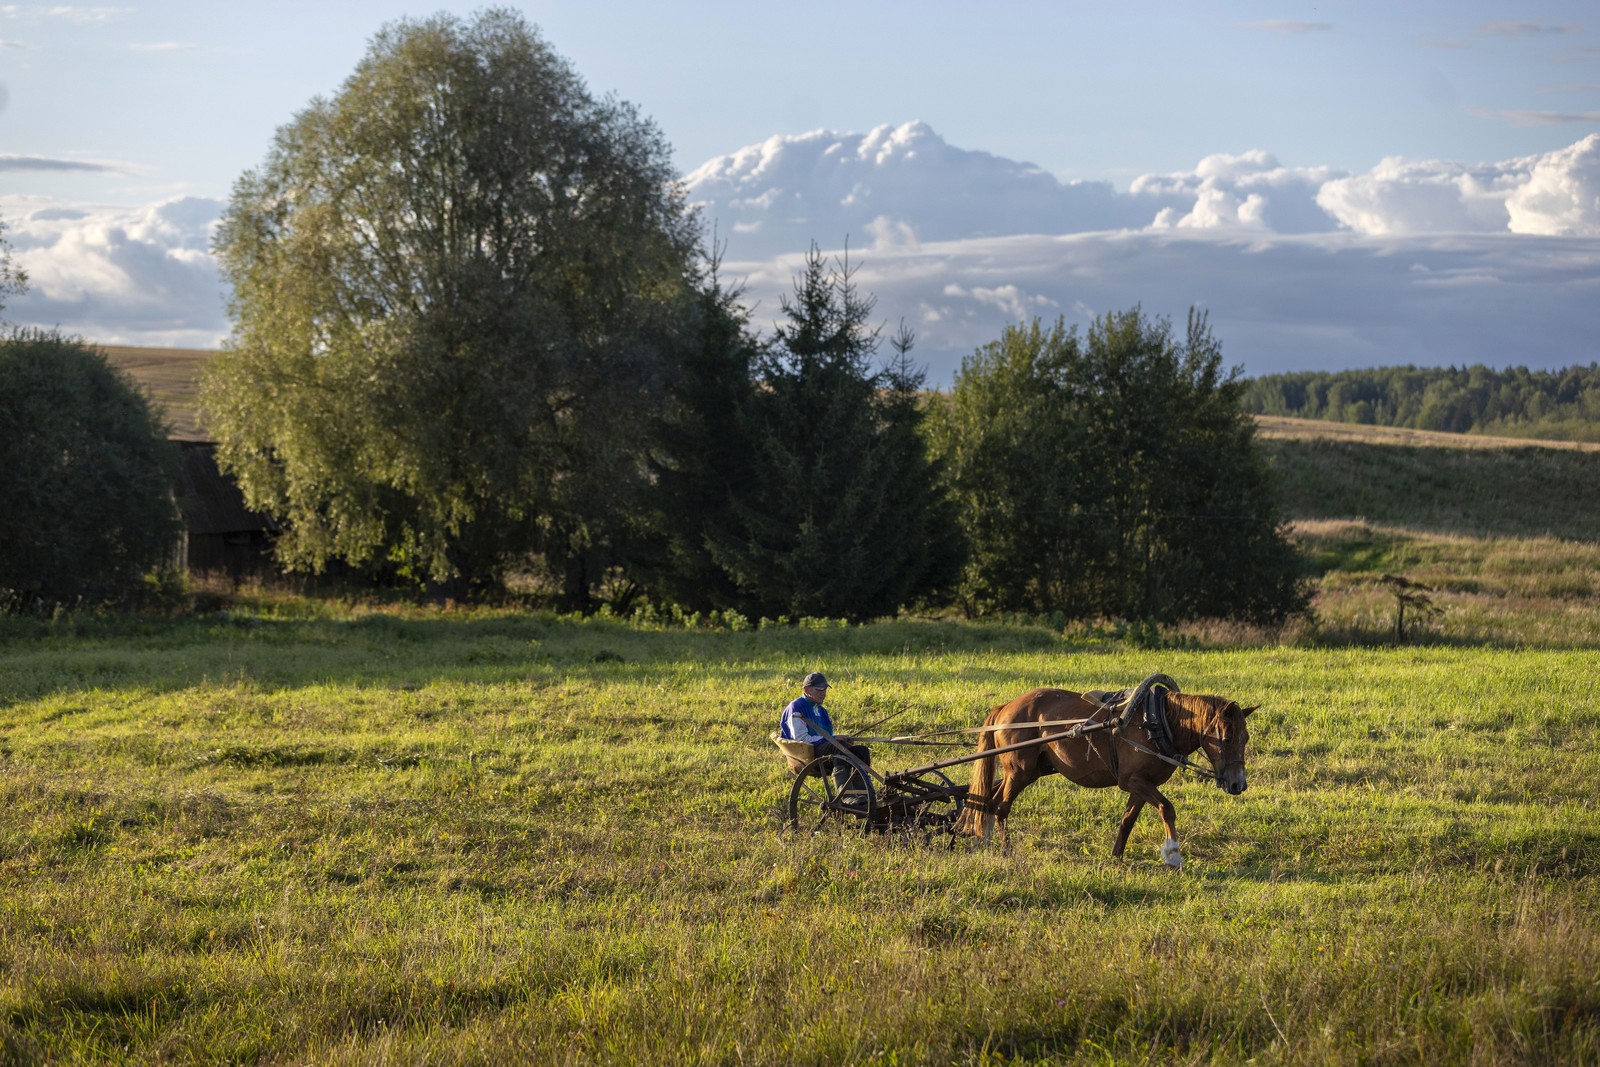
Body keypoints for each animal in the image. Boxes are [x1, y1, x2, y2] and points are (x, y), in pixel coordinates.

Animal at [953, 686, 1255, 866]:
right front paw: (1172, 854)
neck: (1157, 722)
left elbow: (1128, 820)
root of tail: (1005, 707)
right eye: (1227, 737)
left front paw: (1117, 856)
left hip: (1028, 771)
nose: (1238, 784)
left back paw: (984, 840)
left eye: (1246, 737)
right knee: (1001, 807)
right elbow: (1167, 808)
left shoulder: (1142, 785)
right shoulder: (1133, 781)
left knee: (988, 800)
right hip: (1019, 771)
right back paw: (1005, 851)